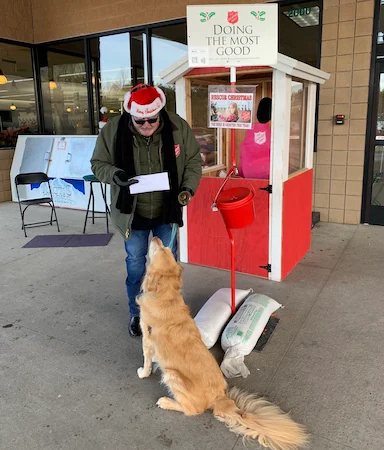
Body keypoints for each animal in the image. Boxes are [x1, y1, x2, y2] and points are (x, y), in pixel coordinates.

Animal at [136, 236, 308, 450]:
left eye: (159, 249)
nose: (156, 237)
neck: (165, 297)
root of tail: (220, 399)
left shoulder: (147, 339)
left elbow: (146, 360)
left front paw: (143, 372)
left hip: (172, 375)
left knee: (192, 410)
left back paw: (166, 402)